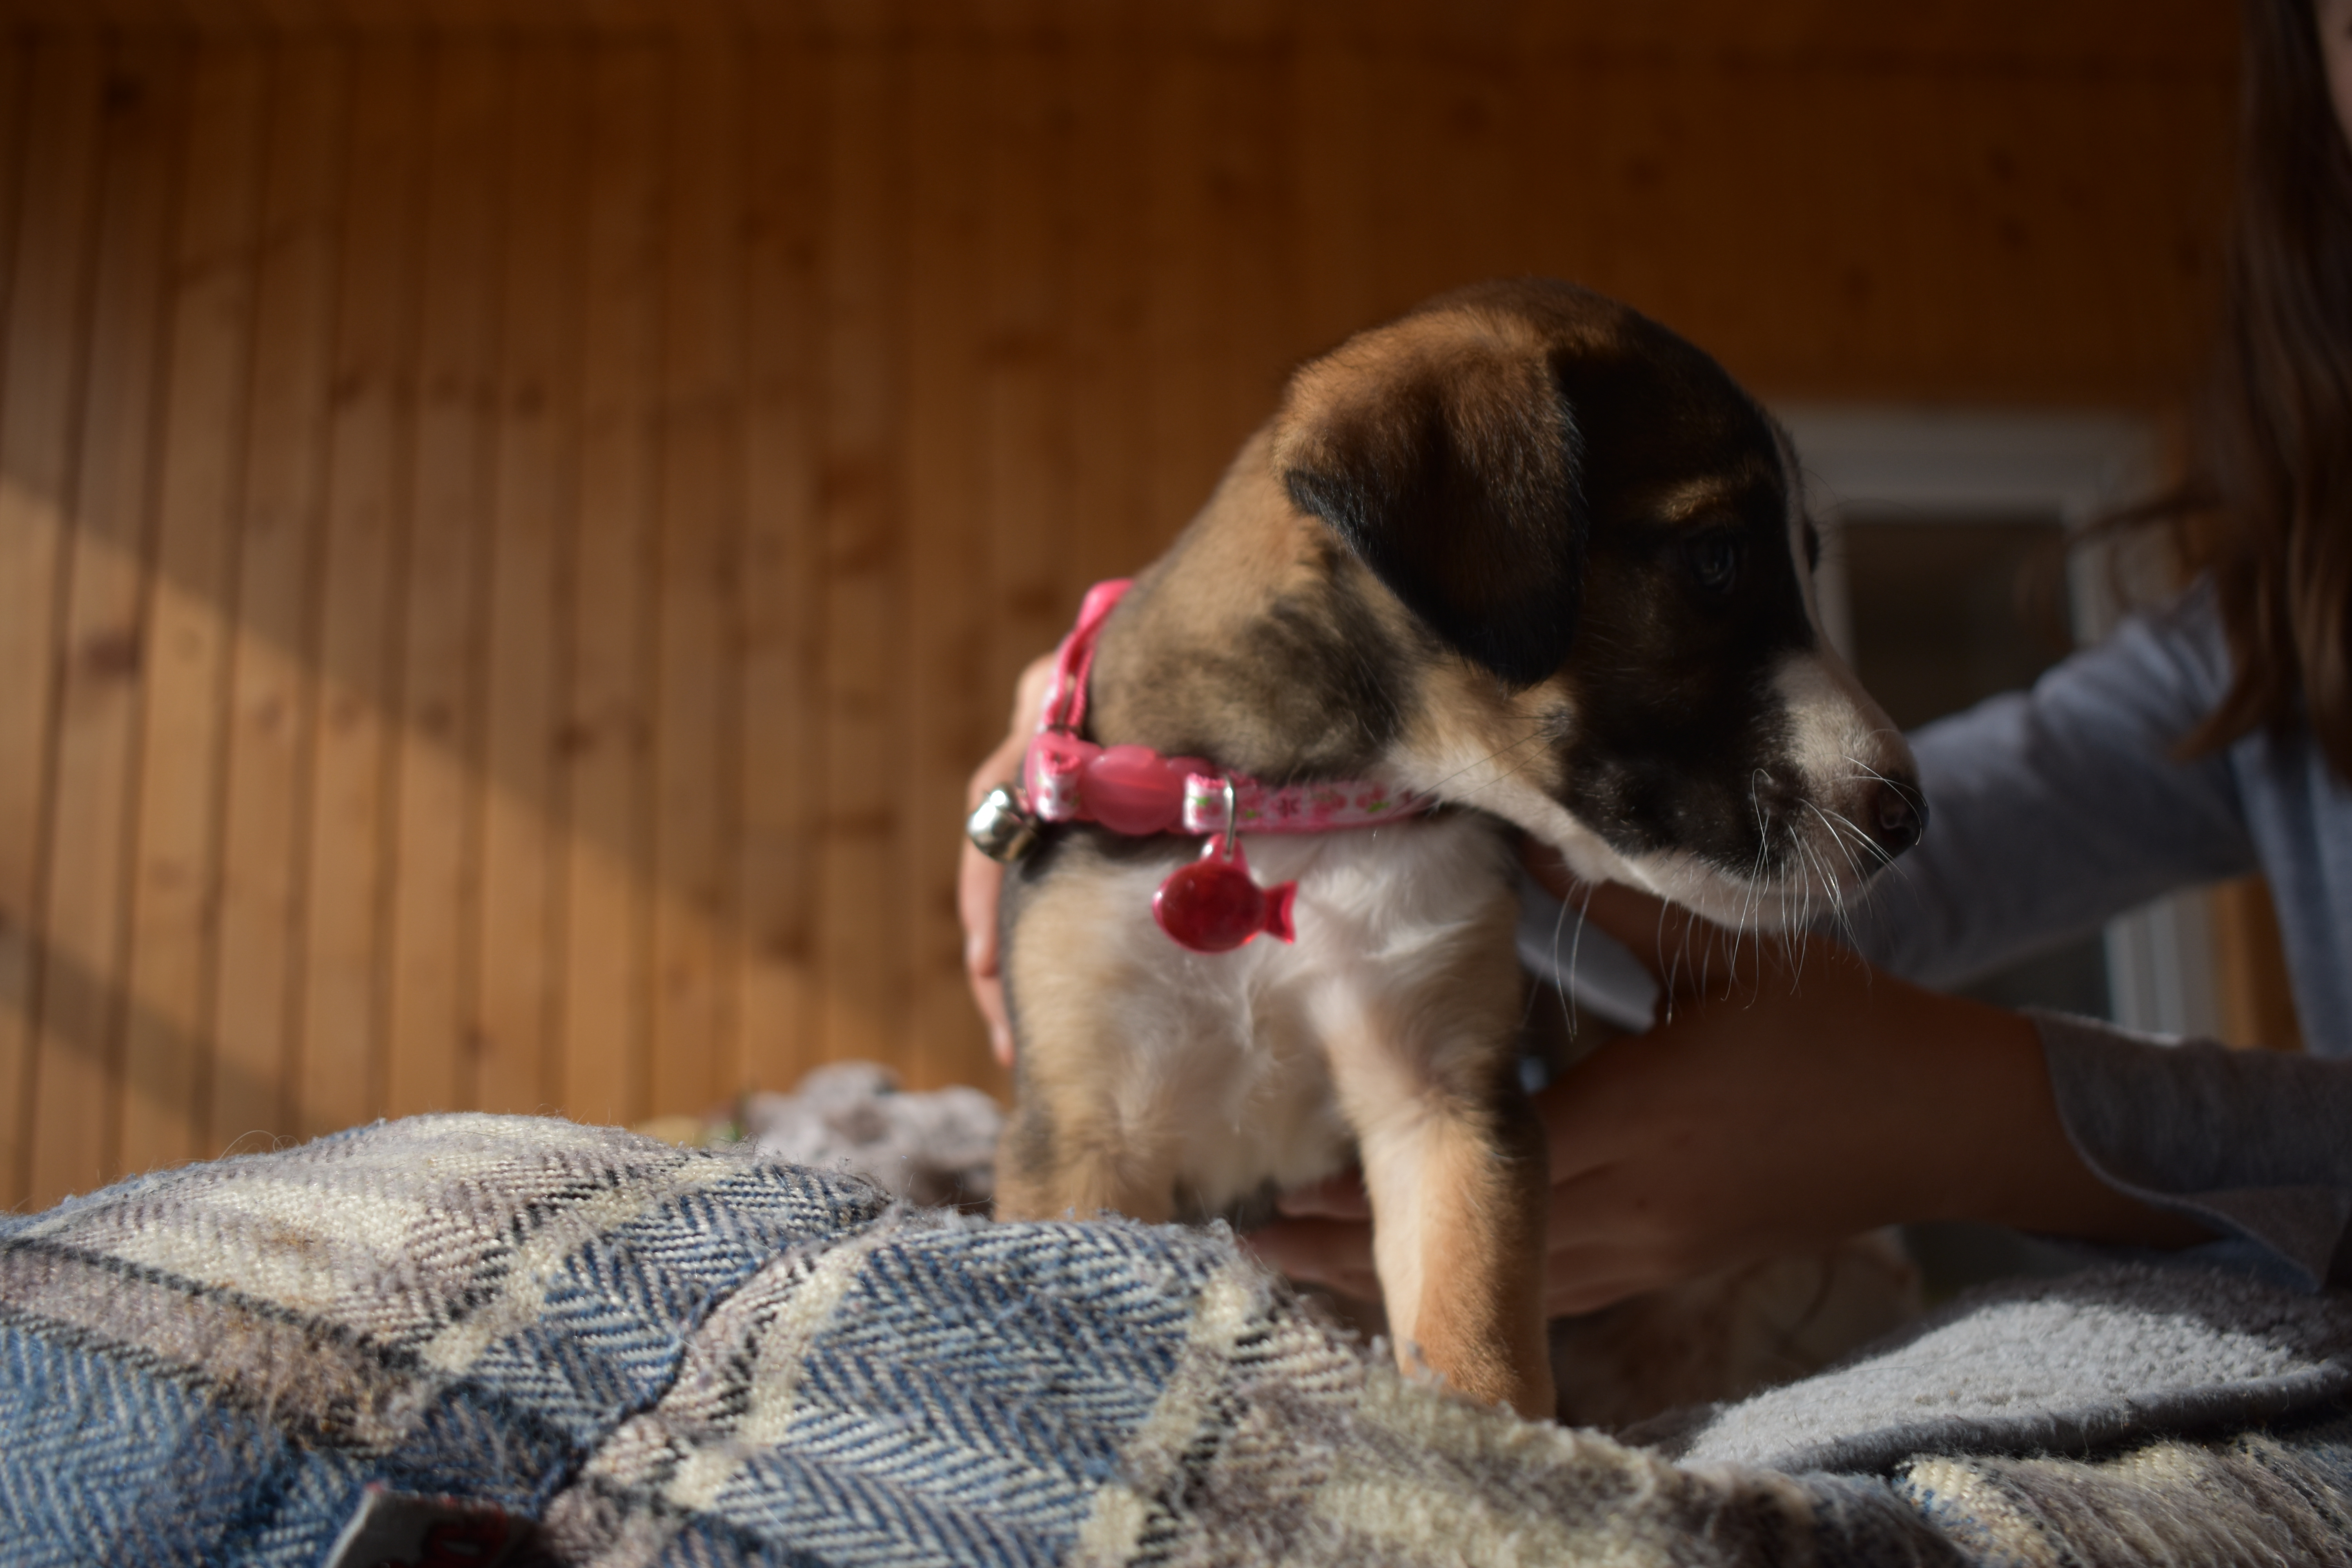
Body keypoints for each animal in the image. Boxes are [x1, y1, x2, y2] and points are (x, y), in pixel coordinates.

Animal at [988, 279, 1923, 1421]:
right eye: (1716, 560)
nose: (1908, 817)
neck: (1292, 819)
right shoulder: (1087, 1128)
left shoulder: (1443, 1100)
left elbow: (1470, 1323)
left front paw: (1493, 1440)